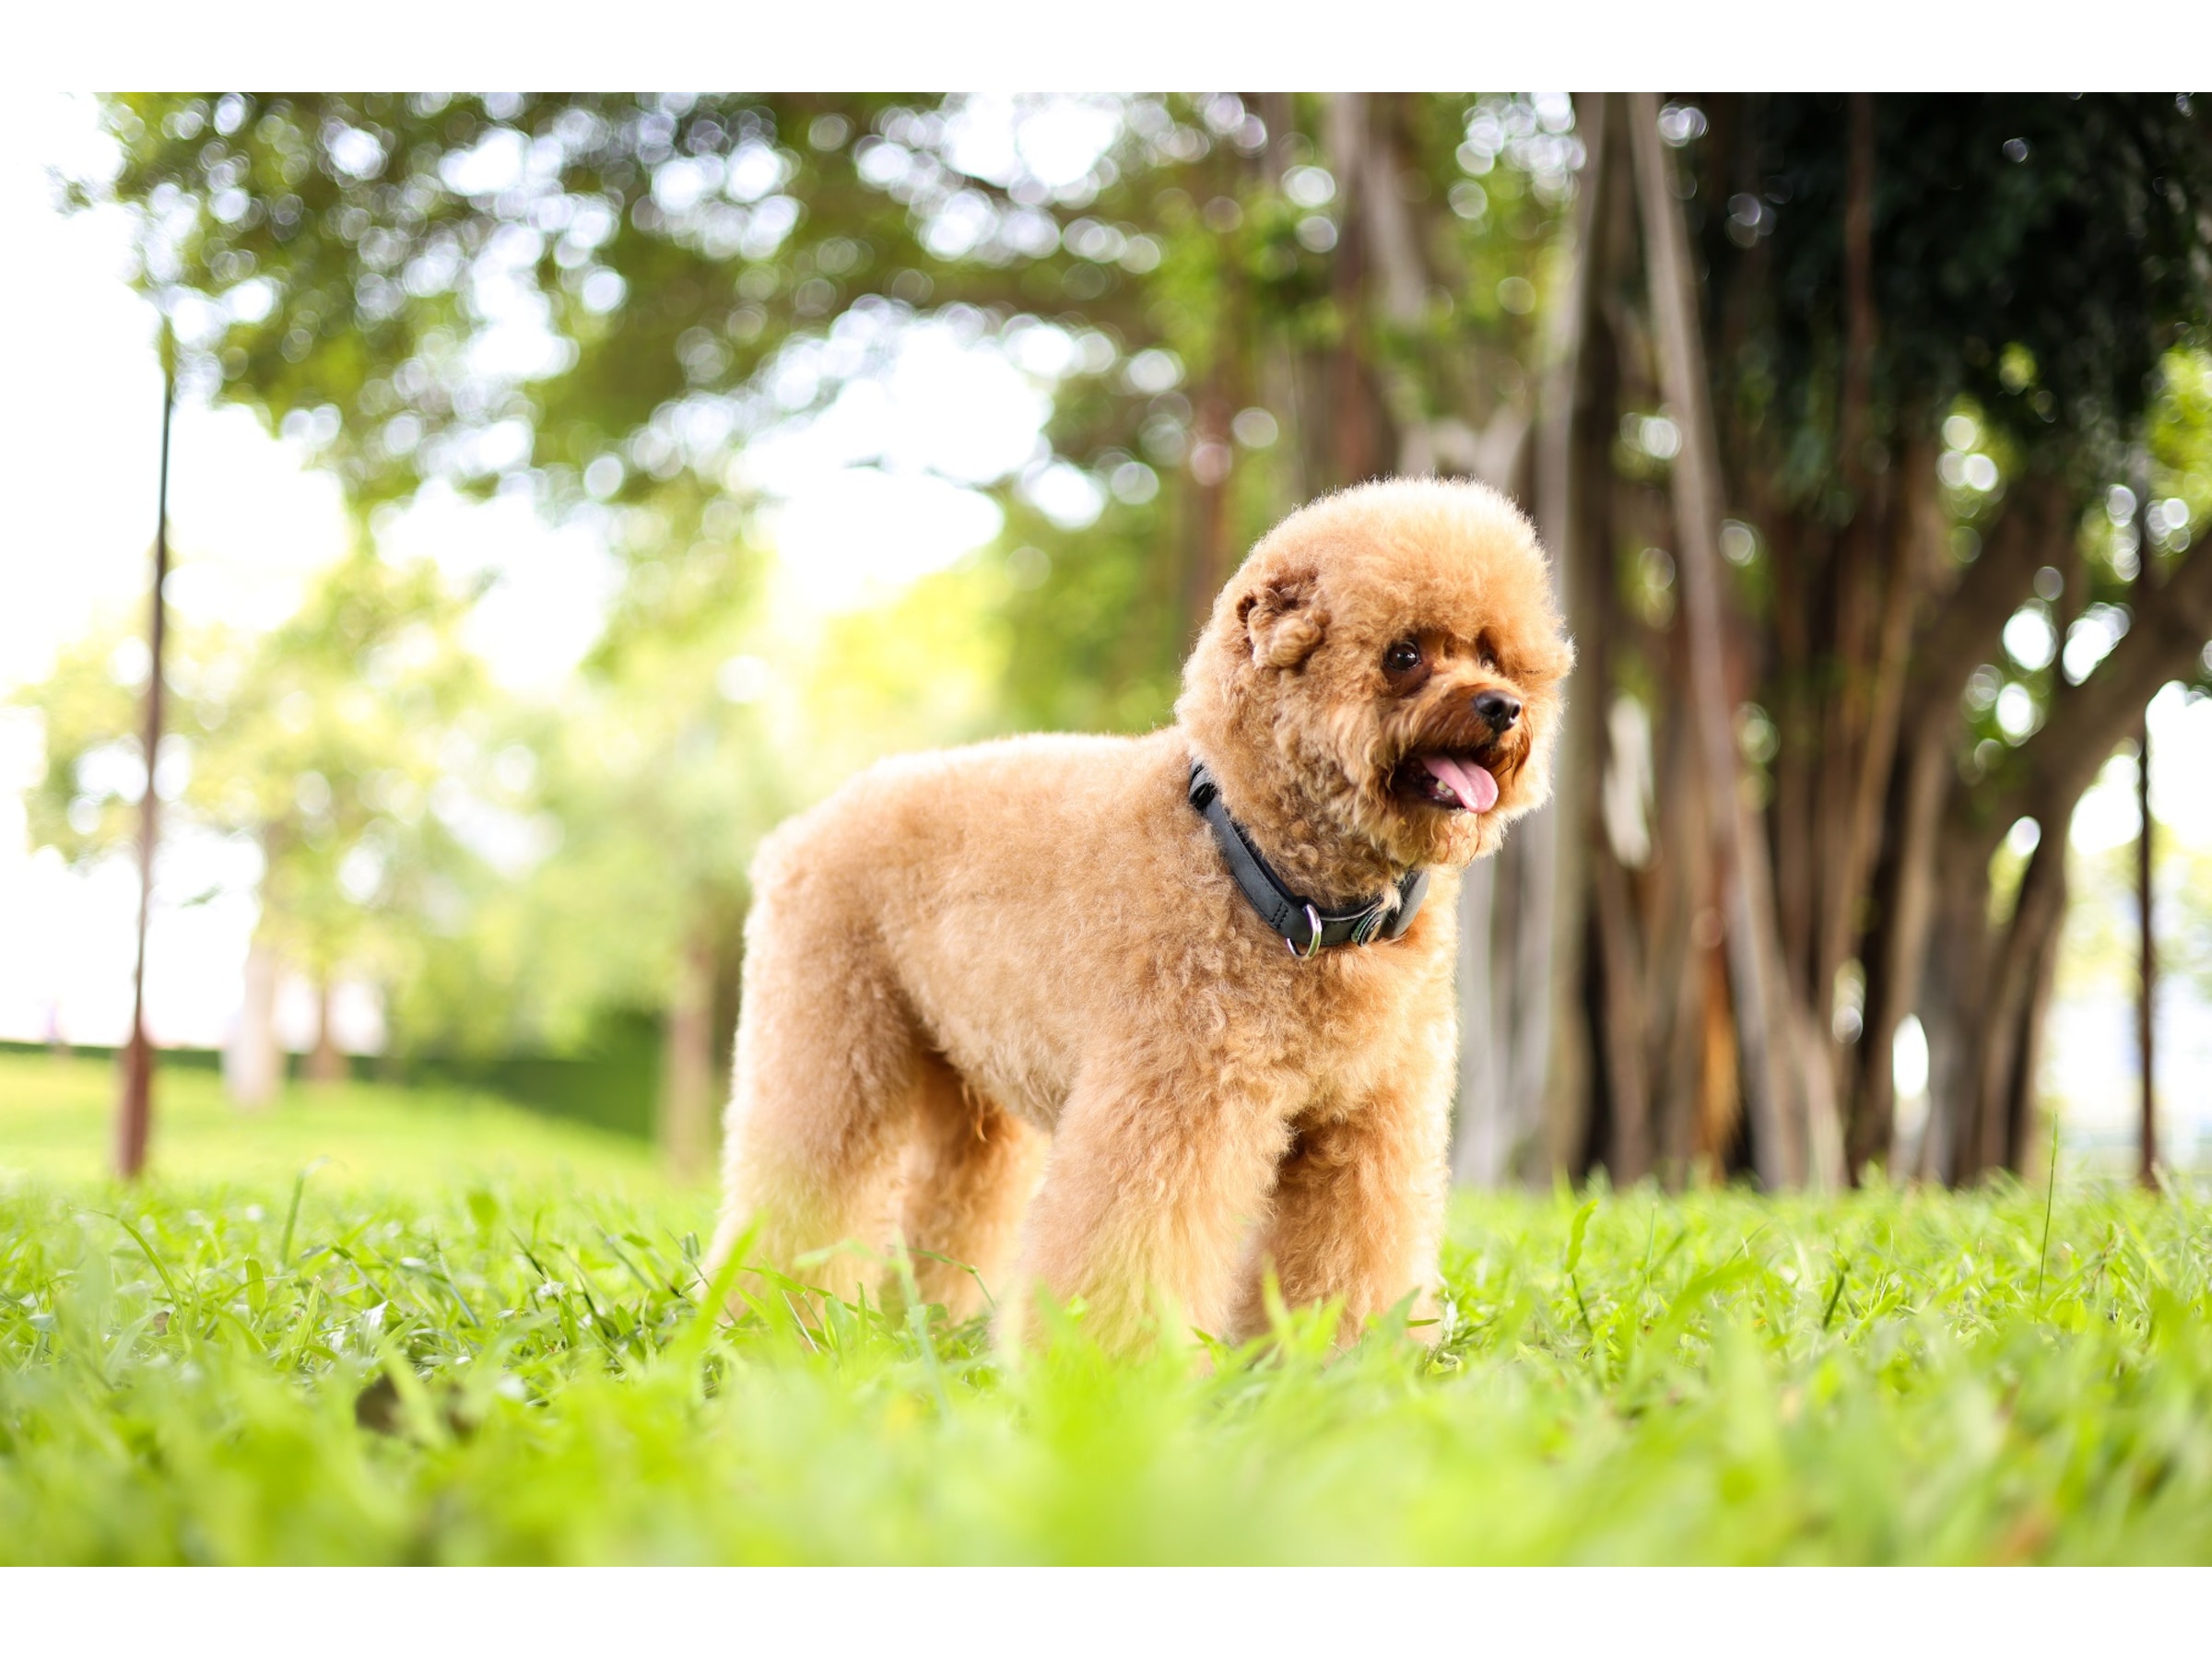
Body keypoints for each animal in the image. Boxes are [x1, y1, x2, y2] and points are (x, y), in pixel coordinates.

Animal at [710, 477, 1572, 1351]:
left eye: (1492, 655)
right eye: (1404, 655)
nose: (1502, 707)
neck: (1275, 878)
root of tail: (798, 834)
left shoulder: (1369, 1124)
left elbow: (1355, 1255)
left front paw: (1343, 1363)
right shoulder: (1178, 1097)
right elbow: (1133, 1250)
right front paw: (1107, 1372)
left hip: (969, 1083)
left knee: (951, 1200)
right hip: (833, 1040)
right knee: (803, 1188)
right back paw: (766, 1319)